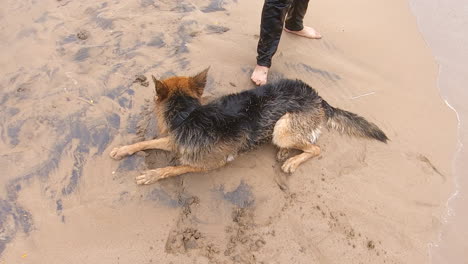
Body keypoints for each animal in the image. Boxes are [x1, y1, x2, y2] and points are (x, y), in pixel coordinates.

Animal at [110, 68, 388, 185]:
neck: (188, 114)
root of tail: (318, 96)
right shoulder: (174, 139)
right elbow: (147, 141)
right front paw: (123, 150)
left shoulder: (208, 164)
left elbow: (175, 168)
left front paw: (153, 174)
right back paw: (285, 153)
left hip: (282, 127)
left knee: (316, 148)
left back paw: (291, 160)